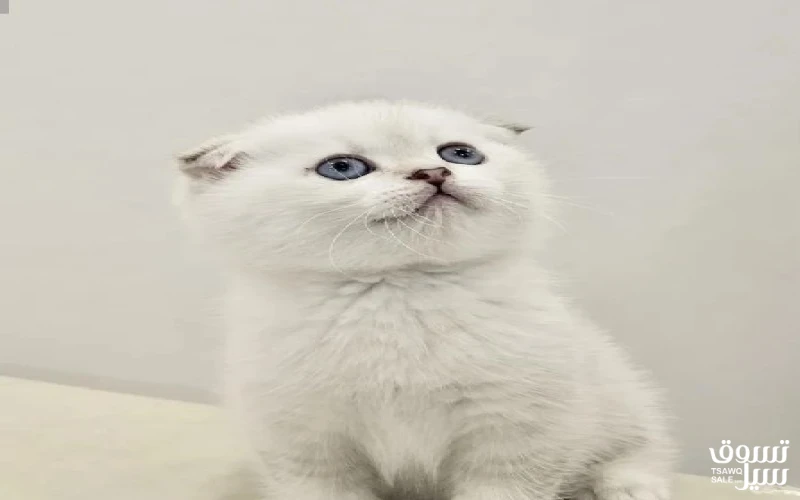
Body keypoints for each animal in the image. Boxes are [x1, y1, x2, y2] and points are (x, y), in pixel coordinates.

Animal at [175, 100, 675, 500]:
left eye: (460, 153)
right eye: (342, 168)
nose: (434, 173)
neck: (401, 291)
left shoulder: (518, 437)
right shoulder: (307, 450)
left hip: (618, 392)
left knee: (644, 447)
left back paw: (631, 488)